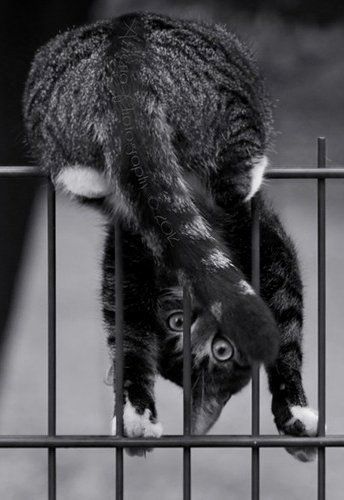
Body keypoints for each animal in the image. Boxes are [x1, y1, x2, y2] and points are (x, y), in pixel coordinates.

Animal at [22, 11, 318, 462]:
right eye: (177, 324)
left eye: (220, 350)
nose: (204, 320)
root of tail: (125, 51)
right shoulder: (263, 244)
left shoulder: (130, 252)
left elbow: (126, 330)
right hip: (223, 117)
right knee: (232, 182)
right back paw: (248, 173)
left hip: (59, 115)